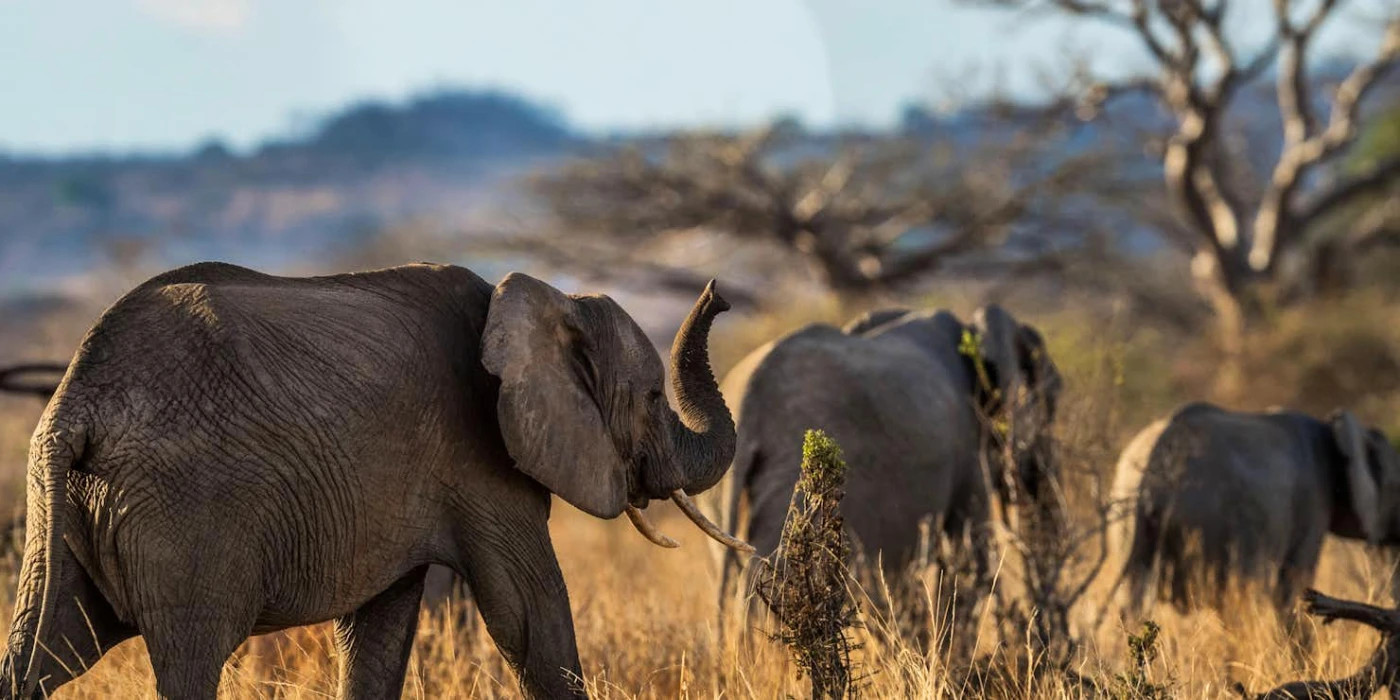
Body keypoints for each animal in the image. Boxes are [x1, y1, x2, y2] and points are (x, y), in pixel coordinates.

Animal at [0, 261, 750, 700]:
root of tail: (76, 403)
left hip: (64, 507)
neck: (544, 301)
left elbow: (380, 631)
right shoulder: (479, 460)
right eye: (651, 397)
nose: (721, 292)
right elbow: (529, 615)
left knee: (43, 649)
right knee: (188, 659)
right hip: (183, 512)